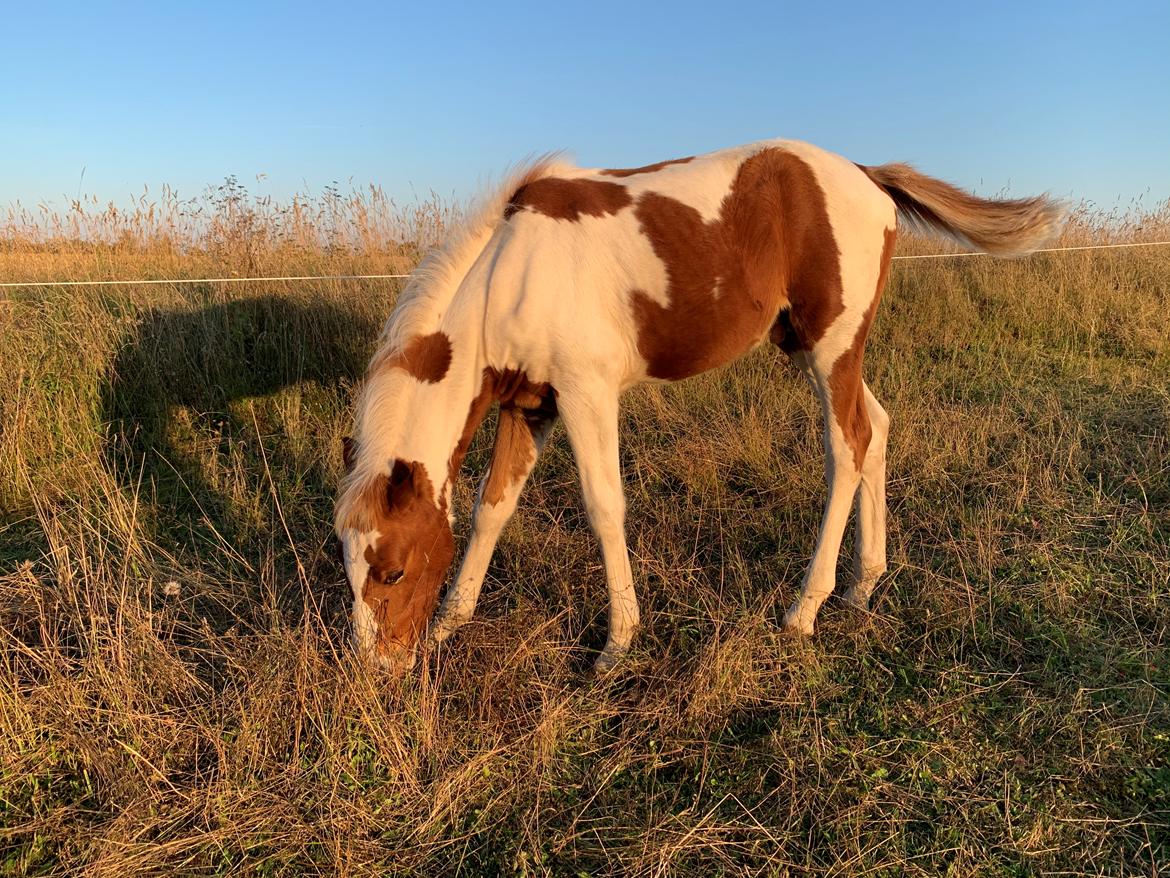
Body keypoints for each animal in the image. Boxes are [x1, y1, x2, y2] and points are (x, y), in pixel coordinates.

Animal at [334, 137, 1067, 674]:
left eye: (393, 570)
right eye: (350, 567)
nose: (381, 671)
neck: (509, 275)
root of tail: (867, 176)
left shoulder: (586, 393)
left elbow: (604, 508)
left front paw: (618, 643)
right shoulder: (529, 405)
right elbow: (492, 508)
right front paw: (451, 622)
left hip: (831, 349)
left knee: (848, 446)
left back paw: (806, 608)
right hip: (812, 347)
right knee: (878, 429)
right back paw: (865, 584)